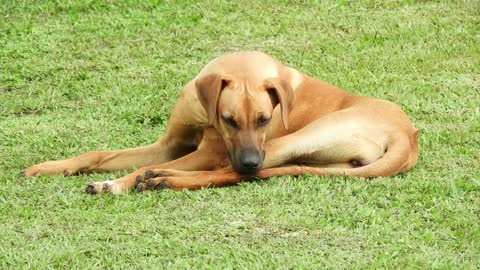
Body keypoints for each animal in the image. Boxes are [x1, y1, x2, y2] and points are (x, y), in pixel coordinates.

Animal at [21, 51, 420, 194]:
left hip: (289, 142)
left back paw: (160, 179)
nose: (250, 160)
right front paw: (50, 166)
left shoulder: (210, 153)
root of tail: (408, 137)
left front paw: (115, 182)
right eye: (229, 120)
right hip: (312, 159)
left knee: (230, 174)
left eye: (265, 119)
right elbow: (99, 153)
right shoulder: (168, 145)